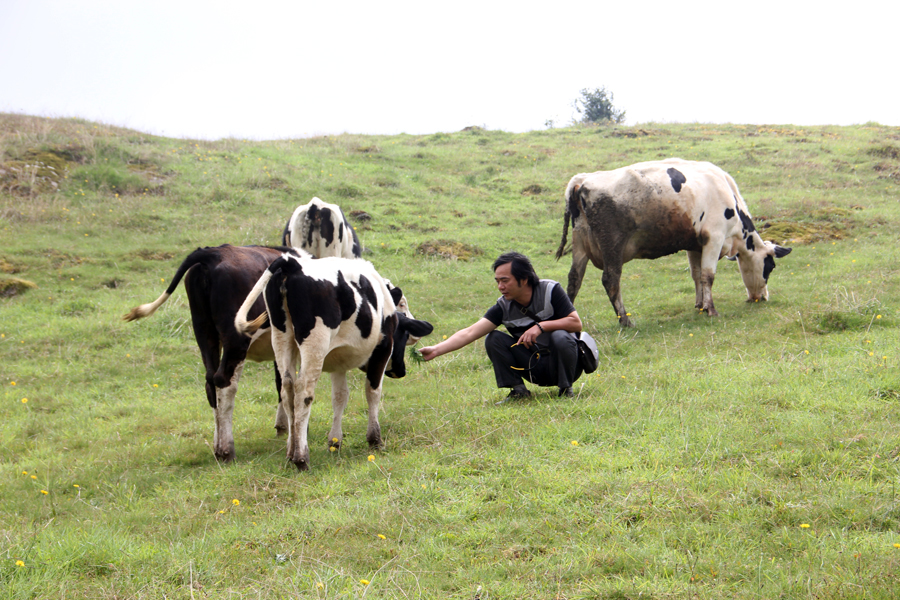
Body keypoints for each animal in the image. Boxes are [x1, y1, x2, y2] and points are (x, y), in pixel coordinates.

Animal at [234, 251, 434, 472]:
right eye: (404, 334)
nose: (401, 371)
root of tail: (292, 263)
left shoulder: (339, 361)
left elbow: (340, 397)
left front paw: (335, 441)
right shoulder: (383, 347)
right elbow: (373, 392)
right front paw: (375, 439)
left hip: (281, 338)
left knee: (287, 389)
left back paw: (291, 452)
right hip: (315, 343)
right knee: (303, 391)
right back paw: (301, 457)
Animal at [560, 159, 792, 326]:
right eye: (770, 267)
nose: (762, 297)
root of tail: (582, 180)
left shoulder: (696, 244)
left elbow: (697, 276)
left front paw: (700, 305)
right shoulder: (714, 238)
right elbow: (708, 276)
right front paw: (711, 310)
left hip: (580, 244)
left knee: (574, 280)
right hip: (612, 247)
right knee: (610, 280)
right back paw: (625, 321)